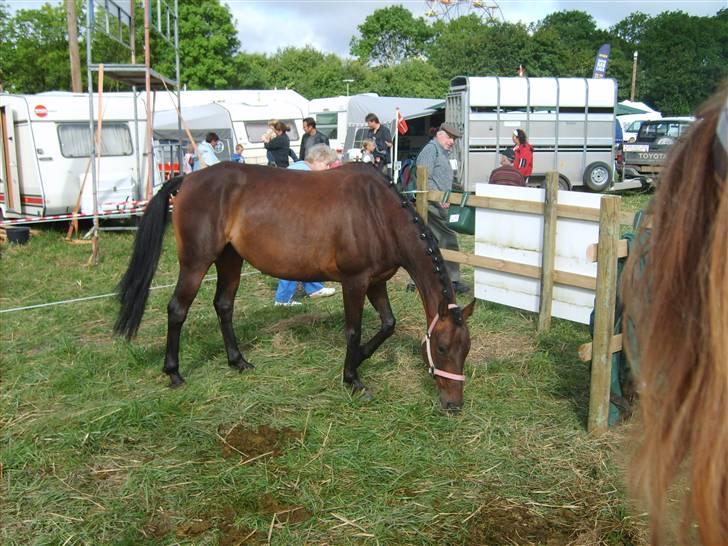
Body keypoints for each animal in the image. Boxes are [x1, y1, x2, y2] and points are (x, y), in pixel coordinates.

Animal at [114, 162, 474, 408]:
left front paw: (358, 360)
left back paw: (238, 361)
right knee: (177, 309)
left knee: (224, 306)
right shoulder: (354, 282)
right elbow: (353, 330)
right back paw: (174, 373)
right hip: (196, 261)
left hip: (230, 259)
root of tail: (188, 178)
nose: (454, 404)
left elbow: (388, 324)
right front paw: (352, 378)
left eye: (466, 349)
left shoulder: (376, 283)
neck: (378, 212)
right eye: (442, 348)